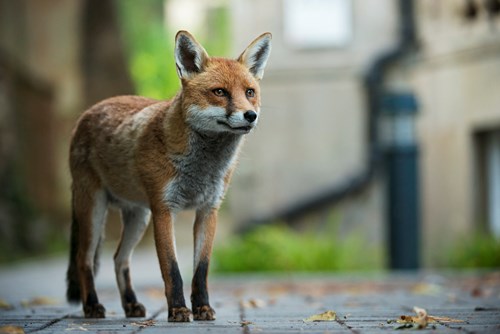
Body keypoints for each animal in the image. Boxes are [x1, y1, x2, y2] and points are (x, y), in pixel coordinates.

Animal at [66, 30, 272, 322]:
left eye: (250, 92)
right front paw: (178, 310)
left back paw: (131, 305)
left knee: (119, 259)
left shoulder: (209, 210)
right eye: (220, 92)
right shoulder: (164, 210)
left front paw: (202, 308)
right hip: (93, 211)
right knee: (84, 260)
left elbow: (201, 270)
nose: (250, 115)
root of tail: (89, 111)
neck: (202, 169)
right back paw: (92, 306)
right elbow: (172, 269)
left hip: (138, 217)